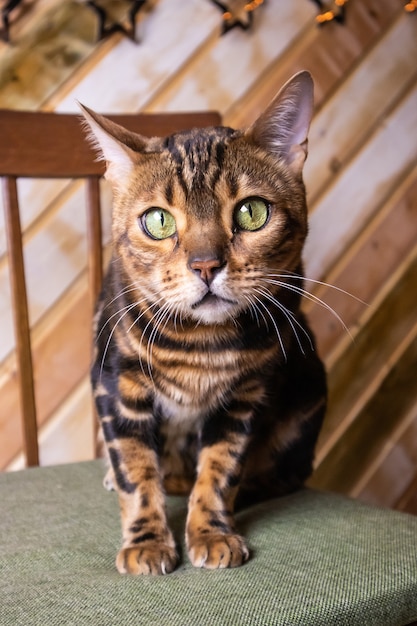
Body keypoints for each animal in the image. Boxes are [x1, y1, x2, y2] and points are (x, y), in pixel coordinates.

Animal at [81, 70, 326, 572]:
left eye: (252, 212)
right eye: (157, 221)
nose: (206, 265)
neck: (199, 346)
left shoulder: (247, 395)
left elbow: (221, 467)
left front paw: (212, 531)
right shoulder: (116, 383)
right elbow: (135, 469)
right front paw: (147, 542)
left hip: (310, 387)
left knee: (279, 475)